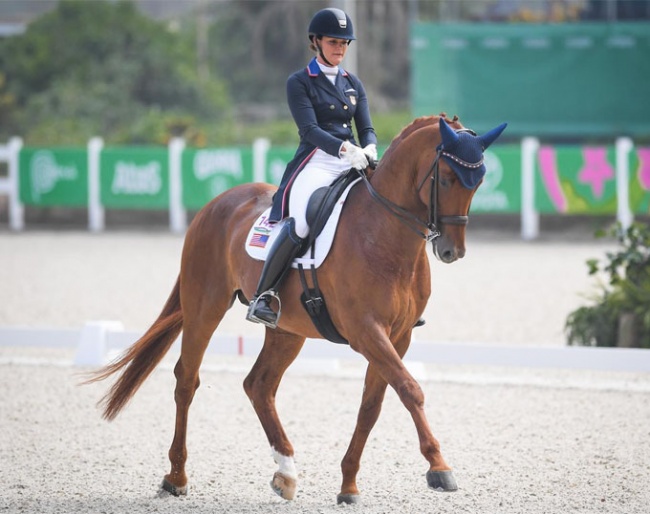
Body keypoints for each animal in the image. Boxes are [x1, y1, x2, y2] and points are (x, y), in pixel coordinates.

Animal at [86, 114, 504, 502]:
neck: (383, 232)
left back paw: (285, 473)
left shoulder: (397, 337)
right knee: (187, 380)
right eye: (447, 178)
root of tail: (217, 203)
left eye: (479, 181)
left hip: (287, 329)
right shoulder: (366, 331)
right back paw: (176, 477)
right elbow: (409, 389)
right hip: (204, 305)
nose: (451, 251)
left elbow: (372, 405)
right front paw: (439, 468)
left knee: (258, 385)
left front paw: (348, 485)